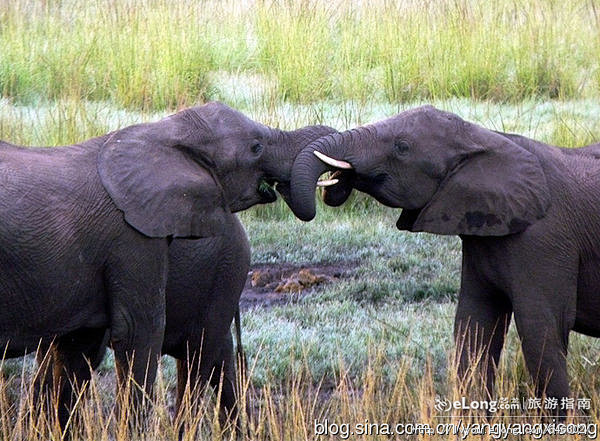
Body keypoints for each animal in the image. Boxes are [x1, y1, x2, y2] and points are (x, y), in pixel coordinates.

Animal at [0, 102, 338, 422]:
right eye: (256, 147)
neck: (163, 133)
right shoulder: (132, 239)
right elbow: (133, 333)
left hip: (225, 273)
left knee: (205, 356)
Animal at [288, 105, 600, 410]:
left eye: (402, 147)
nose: (337, 182)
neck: (483, 137)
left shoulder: (544, 240)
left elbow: (541, 332)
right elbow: (474, 325)